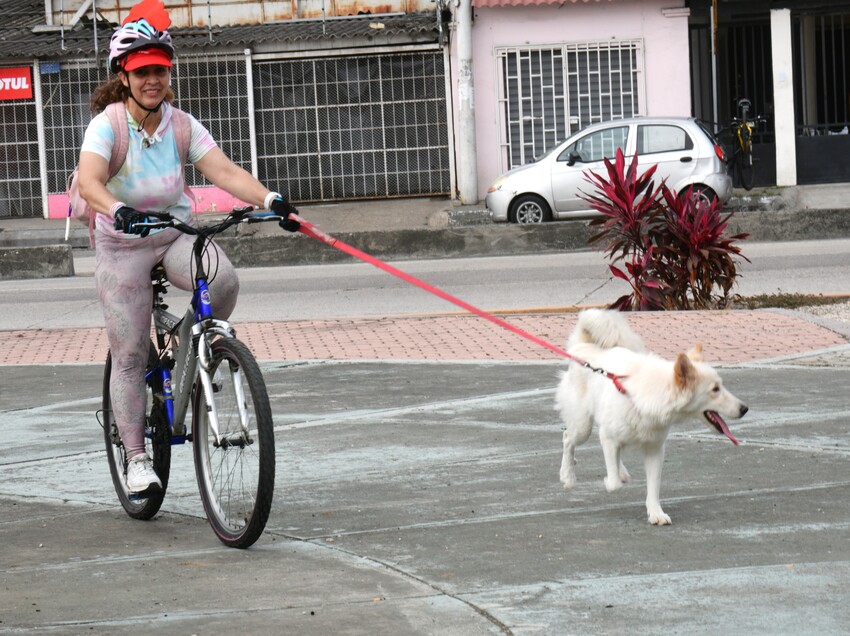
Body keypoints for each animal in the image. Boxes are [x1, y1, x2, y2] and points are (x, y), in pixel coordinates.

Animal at [552, 306, 744, 524]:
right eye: (715, 389)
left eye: (721, 386)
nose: (744, 409)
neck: (650, 396)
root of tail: (582, 346)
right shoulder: (608, 437)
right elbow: (614, 484)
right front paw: (609, 480)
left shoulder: (655, 450)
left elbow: (653, 487)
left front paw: (656, 513)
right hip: (582, 426)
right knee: (568, 438)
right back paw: (568, 476)